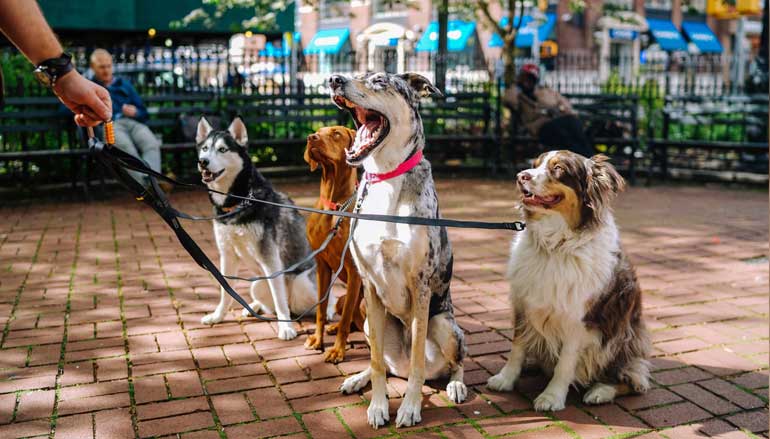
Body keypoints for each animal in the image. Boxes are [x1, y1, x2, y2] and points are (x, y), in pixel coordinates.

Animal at [195, 118, 332, 342]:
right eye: (205, 148)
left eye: (222, 149)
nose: (203, 162)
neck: (239, 201)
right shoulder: (227, 254)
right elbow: (225, 291)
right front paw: (218, 316)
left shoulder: (270, 257)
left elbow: (279, 298)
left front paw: (286, 328)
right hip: (257, 284)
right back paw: (254, 307)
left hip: (302, 283)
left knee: (321, 298)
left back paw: (326, 311)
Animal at [302, 125, 364, 362]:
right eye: (317, 131)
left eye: (336, 133)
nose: (311, 138)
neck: (334, 207)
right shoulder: (322, 266)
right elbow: (321, 310)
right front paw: (317, 340)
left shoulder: (354, 271)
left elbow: (346, 319)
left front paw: (338, 350)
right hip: (341, 298)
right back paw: (333, 327)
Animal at [328, 75, 464, 430]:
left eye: (379, 81)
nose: (334, 79)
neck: (386, 177)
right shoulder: (369, 286)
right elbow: (376, 362)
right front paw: (378, 406)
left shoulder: (421, 285)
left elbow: (417, 361)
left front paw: (410, 408)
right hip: (366, 321)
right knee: (386, 365)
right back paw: (357, 379)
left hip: (445, 325)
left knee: (454, 363)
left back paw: (457, 385)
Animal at [486, 151, 648, 412]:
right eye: (534, 165)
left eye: (559, 169)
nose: (521, 176)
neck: (555, 246)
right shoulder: (523, 303)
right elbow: (517, 347)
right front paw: (505, 378)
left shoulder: (579, 320)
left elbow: (565, 363)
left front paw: (552, 396)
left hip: (623, 337)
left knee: (634, 380)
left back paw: (601, 391)